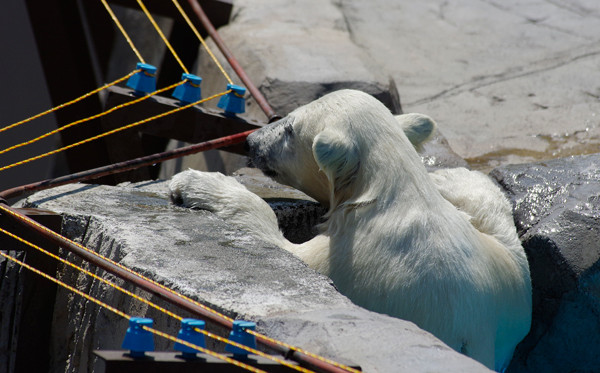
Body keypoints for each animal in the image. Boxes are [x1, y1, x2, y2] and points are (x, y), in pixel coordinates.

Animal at [169, 89, 528, 370]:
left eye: (290, 128)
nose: (250, 141)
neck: (384, 195)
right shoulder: (509, 289)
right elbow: (497, 223)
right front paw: (443, 175)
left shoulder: (352, 260)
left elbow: (284, 248)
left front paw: (194, 185)